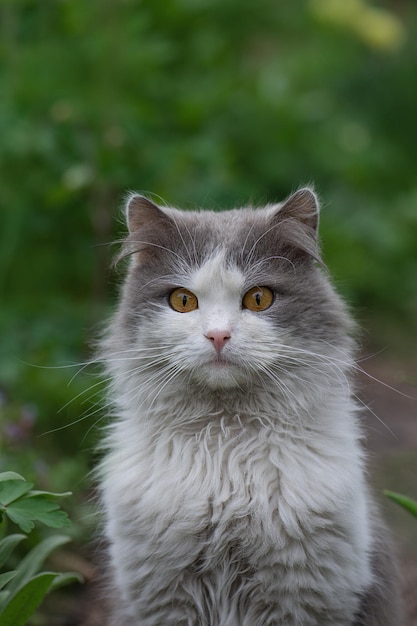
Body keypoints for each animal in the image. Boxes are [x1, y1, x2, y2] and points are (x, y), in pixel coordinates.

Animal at [96, 189, 402, 624]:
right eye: (182, 300)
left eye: (259, 299)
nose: (218, 335)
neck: (226, 445)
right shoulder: (165, 598)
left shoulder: (301, 597)